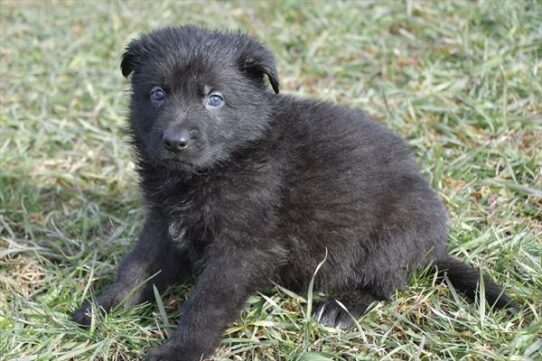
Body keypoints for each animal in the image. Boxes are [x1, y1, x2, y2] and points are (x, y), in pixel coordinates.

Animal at [74, 26, 516, 360]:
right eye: (157, 93)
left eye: (214, 99)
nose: (174, 141)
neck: (222, 164)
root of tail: (433, 250)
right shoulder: (164, 222)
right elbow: (135, 268)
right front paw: (103, 309)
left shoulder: (244, 247)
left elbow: (207, 301)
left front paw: (182, 350)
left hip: (397, 229)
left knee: (386, 282)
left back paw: (341, 307)